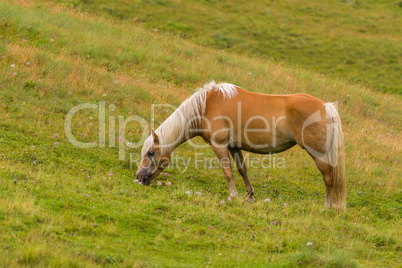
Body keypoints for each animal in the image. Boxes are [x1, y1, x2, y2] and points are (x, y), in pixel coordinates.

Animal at [136, 80, 346, 210]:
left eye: (151, 153)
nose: (138, 177)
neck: (206, 105)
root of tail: (325, 106)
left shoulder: (219, 145)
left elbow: (227, 171)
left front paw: (233, 196)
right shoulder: (234, 147)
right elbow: (241, 170)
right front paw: (249, 195)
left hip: (317, 154)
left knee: (328, 177)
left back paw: (328, 205)